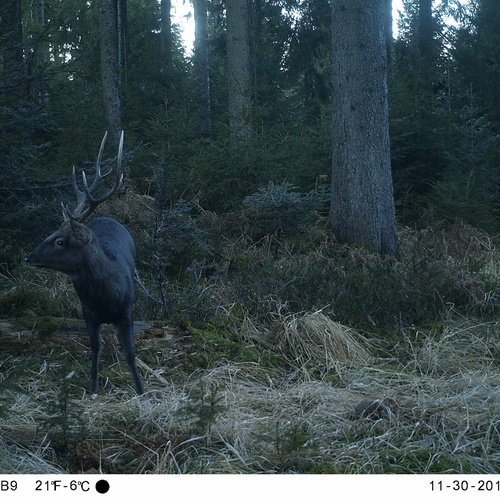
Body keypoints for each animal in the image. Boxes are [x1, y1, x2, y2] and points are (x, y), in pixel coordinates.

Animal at [24, 132, 145, 394]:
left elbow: (131, 353)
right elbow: (95, 349)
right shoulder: (87, 312)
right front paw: (93, 388)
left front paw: (142, 391)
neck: (106, 297)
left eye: (60, 241)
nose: (29, 257)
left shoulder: (126, 312)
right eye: (51, 233)